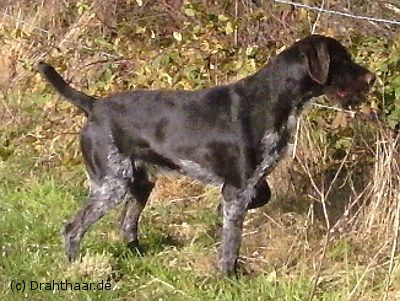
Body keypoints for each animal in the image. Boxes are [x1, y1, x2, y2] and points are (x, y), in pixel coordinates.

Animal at [37, 35, 376, 274]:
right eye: (343, 59)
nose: (372, 78)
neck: (273, 99)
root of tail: (94, 105)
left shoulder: (247, 183)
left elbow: (256, 200)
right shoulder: (237, 188)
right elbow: (231, 243)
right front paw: (229, 276)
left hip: (139, 182)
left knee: (127, 223)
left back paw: (137, 255)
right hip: (111, 185)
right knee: (73, 229)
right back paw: (77, 268)